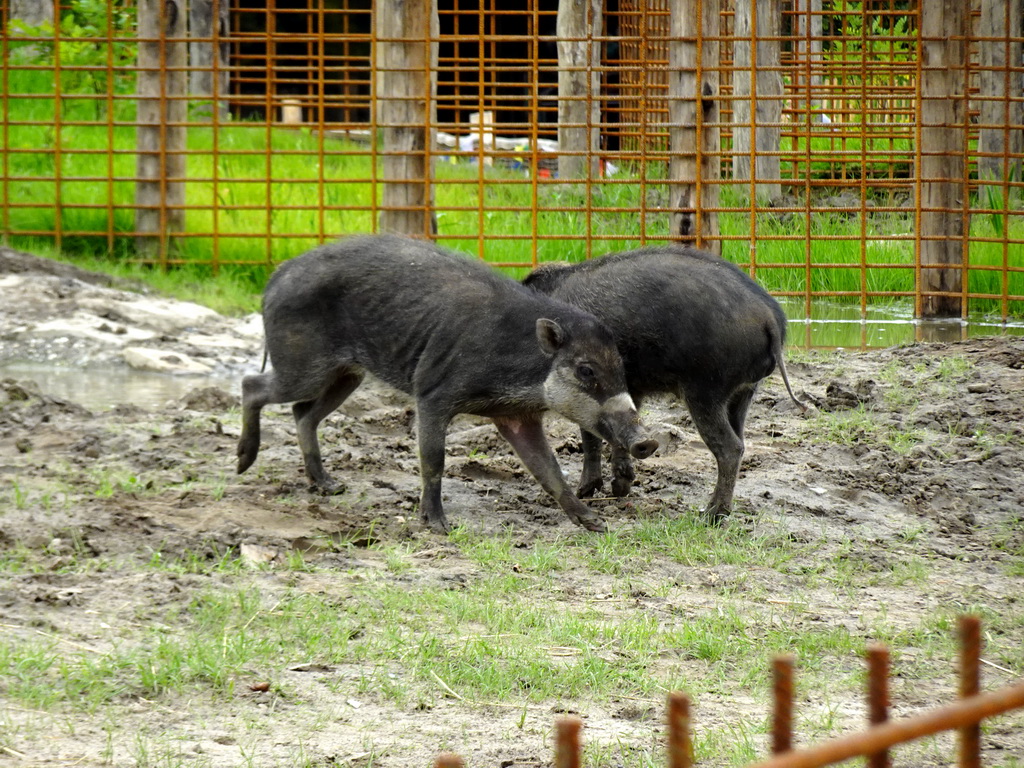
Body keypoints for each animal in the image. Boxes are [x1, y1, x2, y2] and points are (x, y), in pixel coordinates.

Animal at [236, 234, 659, 536]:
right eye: (586, 371)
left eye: (620, 370)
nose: (648, 442)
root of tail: (278, 274)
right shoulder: (432, 393)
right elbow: (433, 459)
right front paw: (439, 527)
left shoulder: (516, 417)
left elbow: (549, 471)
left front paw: (596, 525)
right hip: (302, 364)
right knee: (253, 385)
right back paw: (243, 463)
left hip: (346, 375)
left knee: (302, 413)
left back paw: (329, 486)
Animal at [524, 246, 802, 524]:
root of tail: (770, 317)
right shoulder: (630, 390)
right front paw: (619, 489)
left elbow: (591, 436)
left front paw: (586, 492)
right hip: (743, 394)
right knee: (741, 441)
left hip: (705, 392)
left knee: (730, 448)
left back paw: (710, 515)